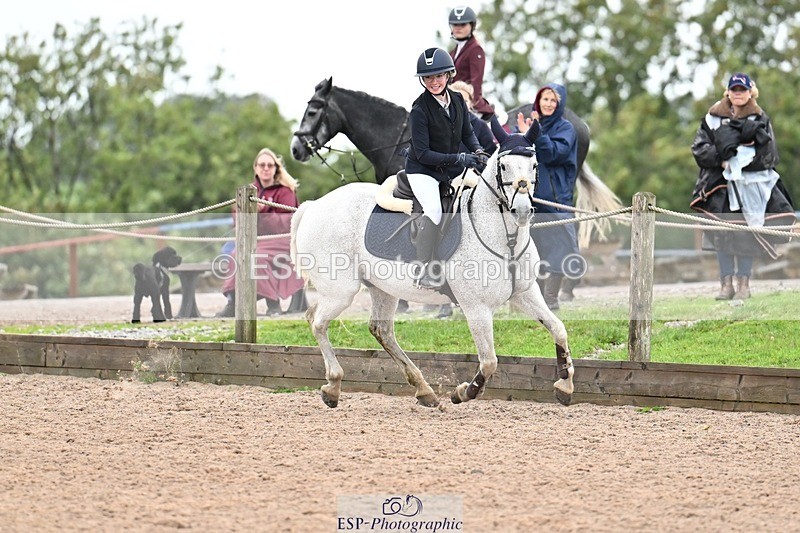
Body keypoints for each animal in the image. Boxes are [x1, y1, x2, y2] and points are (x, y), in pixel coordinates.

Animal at [290, 128, 575, 408]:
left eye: (534, 165)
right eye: (503, 166)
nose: (523, 211)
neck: (505, 237)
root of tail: (314, 205)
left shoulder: (525, 292)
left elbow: (558, 328)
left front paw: (565, 384)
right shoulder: (476, 307)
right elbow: (489, 361)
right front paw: (463, 392)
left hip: (383, 289)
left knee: (380, 330)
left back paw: (423, 389)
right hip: (341, 291)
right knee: (317, 322)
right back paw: (333, 386)